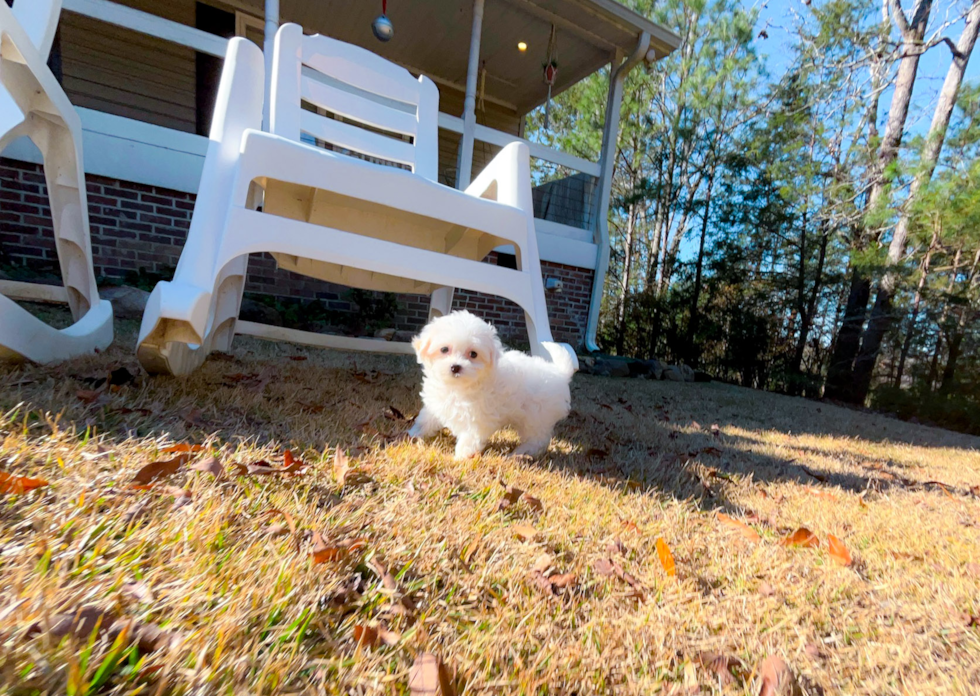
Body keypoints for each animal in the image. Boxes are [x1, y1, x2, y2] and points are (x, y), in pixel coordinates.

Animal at [406, 310, 576, 456]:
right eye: (444, 349)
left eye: (473, 354)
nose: (455, 367)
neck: (457, 386)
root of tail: (560, 373)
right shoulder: (436, 403)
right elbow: (426, 419)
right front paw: (414, 433)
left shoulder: (477, 417)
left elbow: (470, 437)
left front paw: (461, 457)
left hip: (536, 417)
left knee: (537, 439)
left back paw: (521, 453)